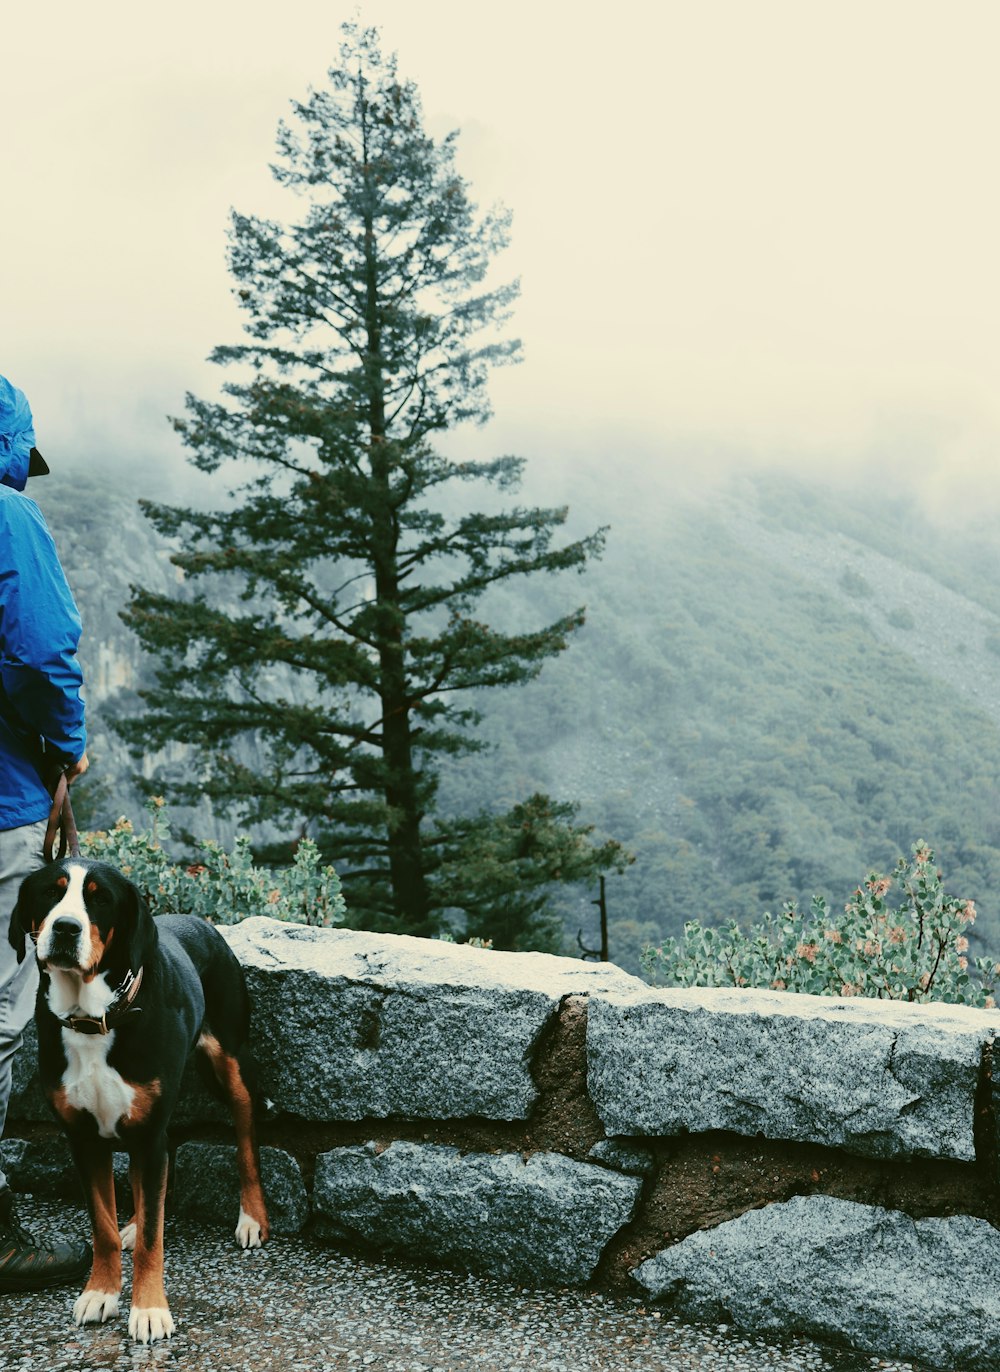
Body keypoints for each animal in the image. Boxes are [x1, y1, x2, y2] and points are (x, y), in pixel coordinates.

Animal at [5, 856, 268, 1339]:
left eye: (100, 898)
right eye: (51, 892)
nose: (66, 928)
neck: (92, 1018)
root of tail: (198, 921)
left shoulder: (148, 1135)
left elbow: (152, 1239)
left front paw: (148, 1310)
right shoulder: (85, 1138)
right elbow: (103, 1226)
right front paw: (101, 1293)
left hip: (231, 1064)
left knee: (246, 1141)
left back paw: (252, 1218)